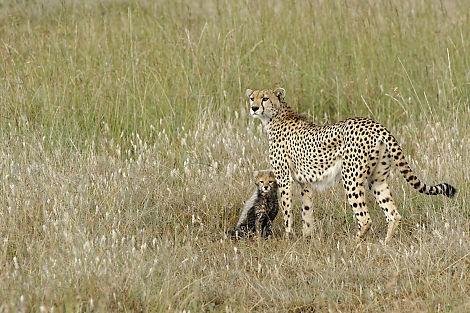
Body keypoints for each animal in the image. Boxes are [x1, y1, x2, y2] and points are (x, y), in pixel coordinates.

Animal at [246, 86, 456, 243]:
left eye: (265, 98)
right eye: (252, 98)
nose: (254, 108)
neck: (275, 117)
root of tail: (376, 124)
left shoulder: (283, 179)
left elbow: (287, 210)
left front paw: (288, 238)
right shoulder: (305, 182)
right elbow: (307, 211)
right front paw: (307, 238)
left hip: (351, 178)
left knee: (365, 218)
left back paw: (354, 243)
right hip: (377, 180)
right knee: (393, 214)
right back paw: (386, 243)